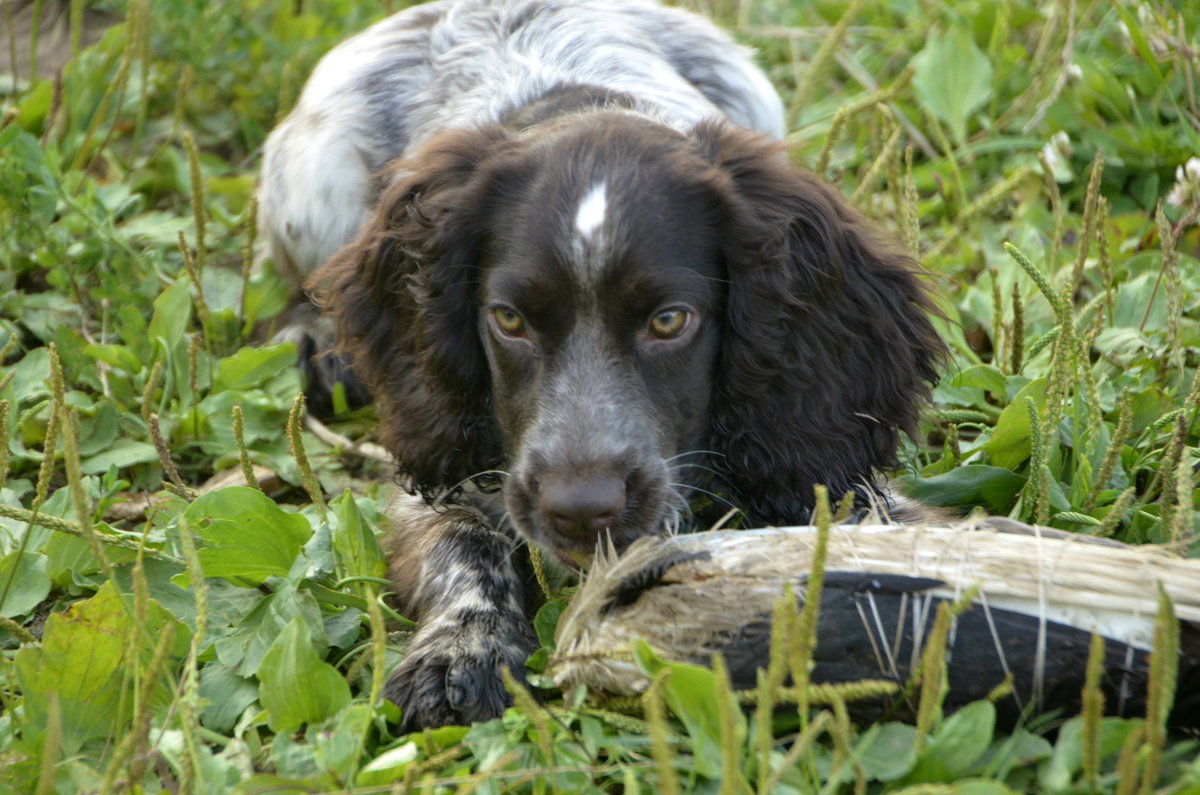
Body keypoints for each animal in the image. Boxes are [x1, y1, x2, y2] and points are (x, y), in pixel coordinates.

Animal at [260, 0, 945, 734]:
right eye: (509, 320)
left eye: (669, 321)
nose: (579, 509)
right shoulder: (448, 466)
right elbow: (462, 544)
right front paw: (460, 651)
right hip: (313, 180)